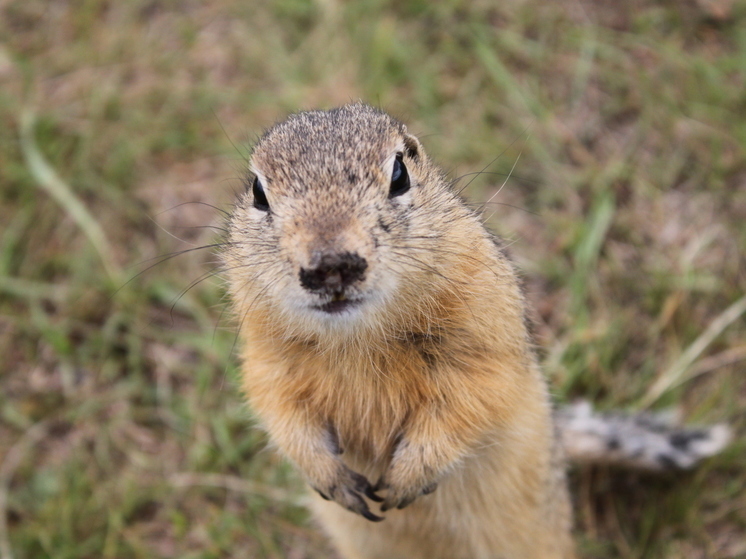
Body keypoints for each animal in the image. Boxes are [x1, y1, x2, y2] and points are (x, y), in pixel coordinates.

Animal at [219, 103, 728, 556]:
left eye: (399, 174)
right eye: (258, 192)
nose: (331, 265)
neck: (356, 337)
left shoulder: (485, 336)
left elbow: (470, 400)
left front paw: (408, 477)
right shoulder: (264, 356)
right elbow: (278, 409)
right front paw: (330, 477)